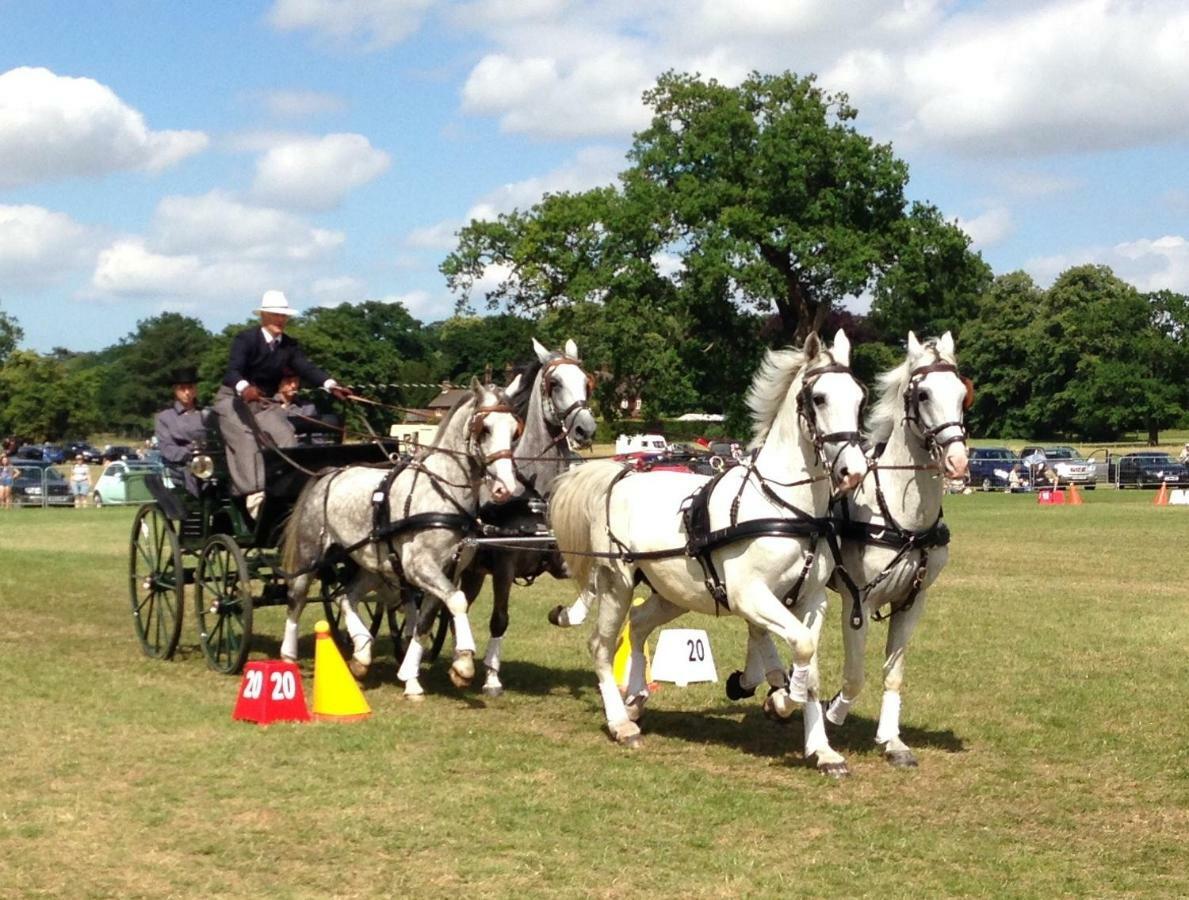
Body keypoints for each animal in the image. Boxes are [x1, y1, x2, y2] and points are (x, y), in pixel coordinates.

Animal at [280, 382, 523, 689]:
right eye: (485, 429)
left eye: (515, 430)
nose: (506, 488)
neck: (443, 492)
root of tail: (328, 473)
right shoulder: (419, 566)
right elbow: (457, 601)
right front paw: (465, 662)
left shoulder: (449, 571)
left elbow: (426, 619)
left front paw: (412, 677)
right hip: (311, 554)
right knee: (296, 598)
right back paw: (288, 658)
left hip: (371, 563)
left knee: (345, 596)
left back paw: (361, 653)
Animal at [544, 330, 865, 770]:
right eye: (818, 398)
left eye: (860, 397)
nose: (854, 472)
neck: (787, 509)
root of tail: (619, 475)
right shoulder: (751, 596)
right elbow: (800, 646)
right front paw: (781, 700)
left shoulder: (812, 601)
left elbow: (810, 663)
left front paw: (821, 749)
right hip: (616, 584)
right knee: (601, 646)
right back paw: (621, 723)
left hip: (673, 592)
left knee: (639, 624)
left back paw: (636, 701)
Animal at [727, 330, 970, 765]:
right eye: (923, 394)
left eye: (963, 393)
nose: (958, 461)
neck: (904, 518)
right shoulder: (858, 601)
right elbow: (854, 677)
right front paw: (832, 712)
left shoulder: (913, 601)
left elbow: (894, 673)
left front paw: (893, 741)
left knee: (758, 626)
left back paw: (763, 679)